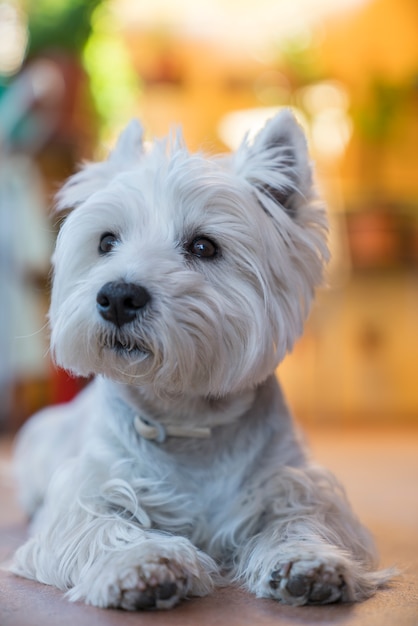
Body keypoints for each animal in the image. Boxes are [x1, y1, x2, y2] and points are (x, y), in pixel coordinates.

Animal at [13, 109, 392, 608]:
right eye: (106, 241)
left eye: (203, 246)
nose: (117, 297)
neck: (185, 418)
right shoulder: (86, 492)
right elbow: (102, 527)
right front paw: (144, 564)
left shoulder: (292, 483)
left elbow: (304, 517)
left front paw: (310, 563)